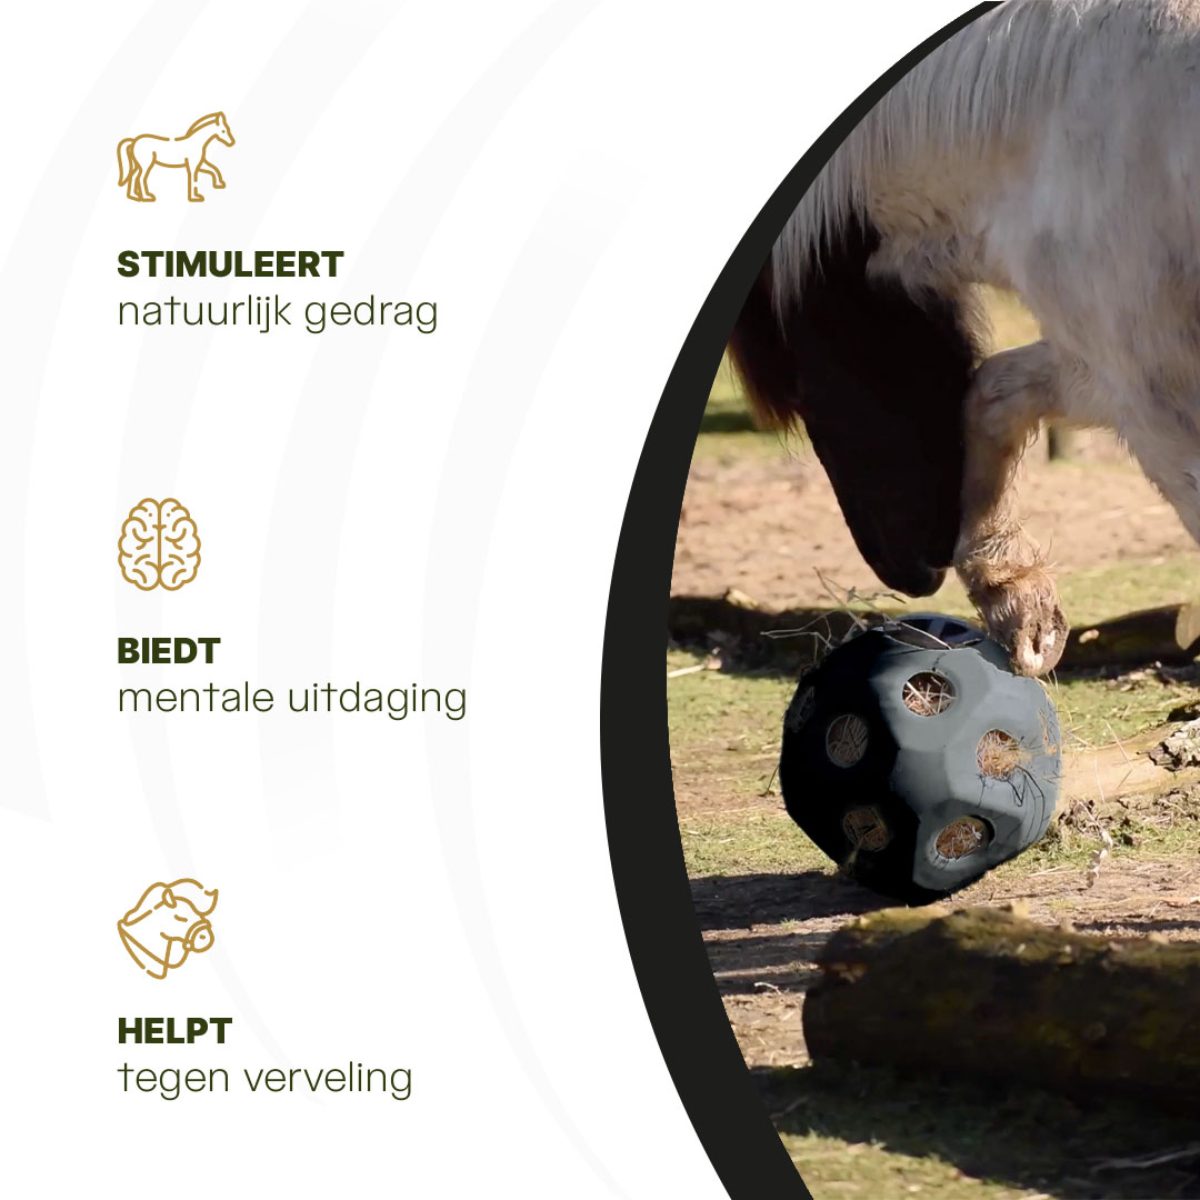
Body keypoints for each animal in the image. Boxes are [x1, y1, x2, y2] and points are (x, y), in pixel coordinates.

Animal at [730, 0, 1200, 677]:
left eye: (800, 386)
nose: (911, 571)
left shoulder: (1153, 386)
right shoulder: (1104, 360)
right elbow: (992, 393)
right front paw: (1015, 598)